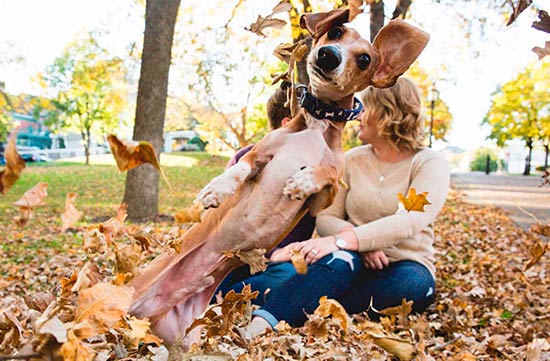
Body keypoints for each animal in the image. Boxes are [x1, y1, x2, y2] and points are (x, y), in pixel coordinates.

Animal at [129, 7, 432, 346]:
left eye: (365, 59)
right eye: (336, 31)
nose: (329, 55)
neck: (317, 124)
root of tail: (151, 315)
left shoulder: (321, 199)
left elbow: (326, 174)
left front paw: (303, 180)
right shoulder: (259, 155)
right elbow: (240, 168)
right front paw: (217, 189)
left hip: (187, 337)